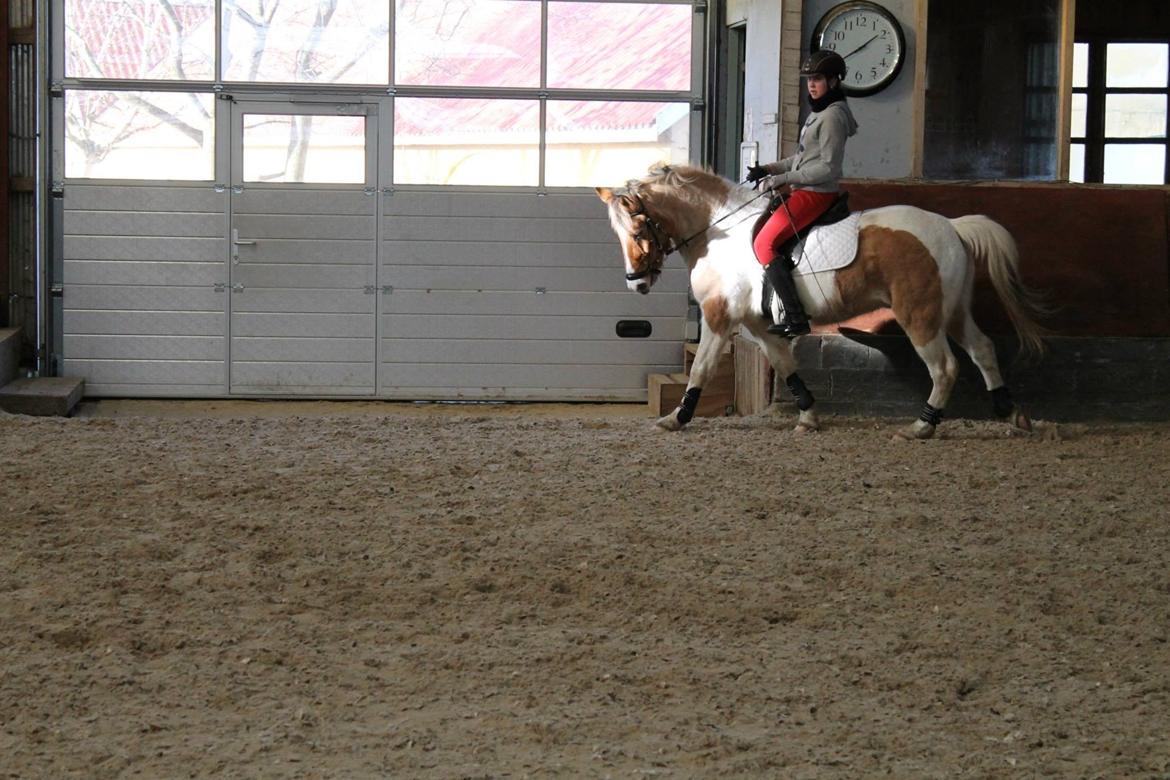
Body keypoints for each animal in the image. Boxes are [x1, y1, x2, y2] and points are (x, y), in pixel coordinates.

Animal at [596, 165, 1047, 440]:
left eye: (639, 230)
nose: (637, 283)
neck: (717, 231)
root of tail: (951, 226)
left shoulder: (719, 315)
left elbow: (702, 368)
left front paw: (676, 418)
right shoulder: (759, 324)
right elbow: (784, 364)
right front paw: (808, 416)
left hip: (920, 315)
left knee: (945, 367)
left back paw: (921, 426)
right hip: (951, 311)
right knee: (983, 350)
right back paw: (1011, 413)